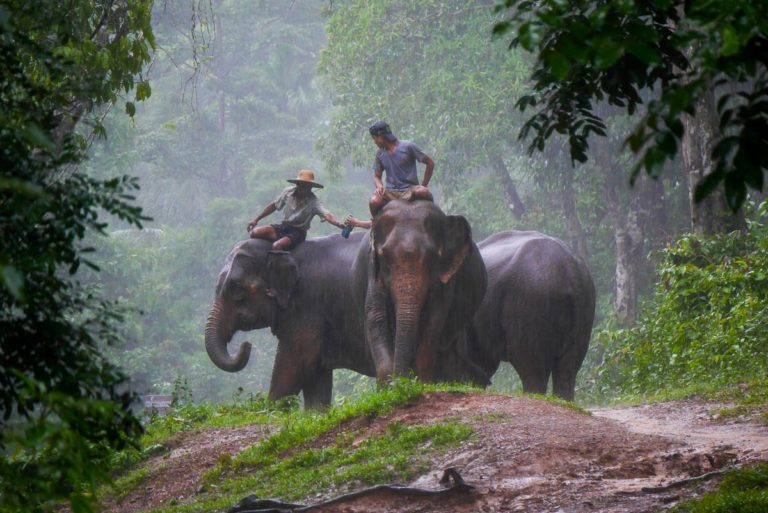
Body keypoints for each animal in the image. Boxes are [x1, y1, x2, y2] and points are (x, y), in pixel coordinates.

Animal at [202, 232, 374, 408]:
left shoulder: (307, 307)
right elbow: (316, 378)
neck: (283, 252)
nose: (247, 345)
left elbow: (295, 364)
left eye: (237, 288)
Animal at [352, 198, 488, 382]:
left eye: (432, 258)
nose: (402, 379)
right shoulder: (372, 271)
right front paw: (389, 384)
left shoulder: (445, 278)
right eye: (385, 257)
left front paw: (421, 381)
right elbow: (376, 315)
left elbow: (434, 319)